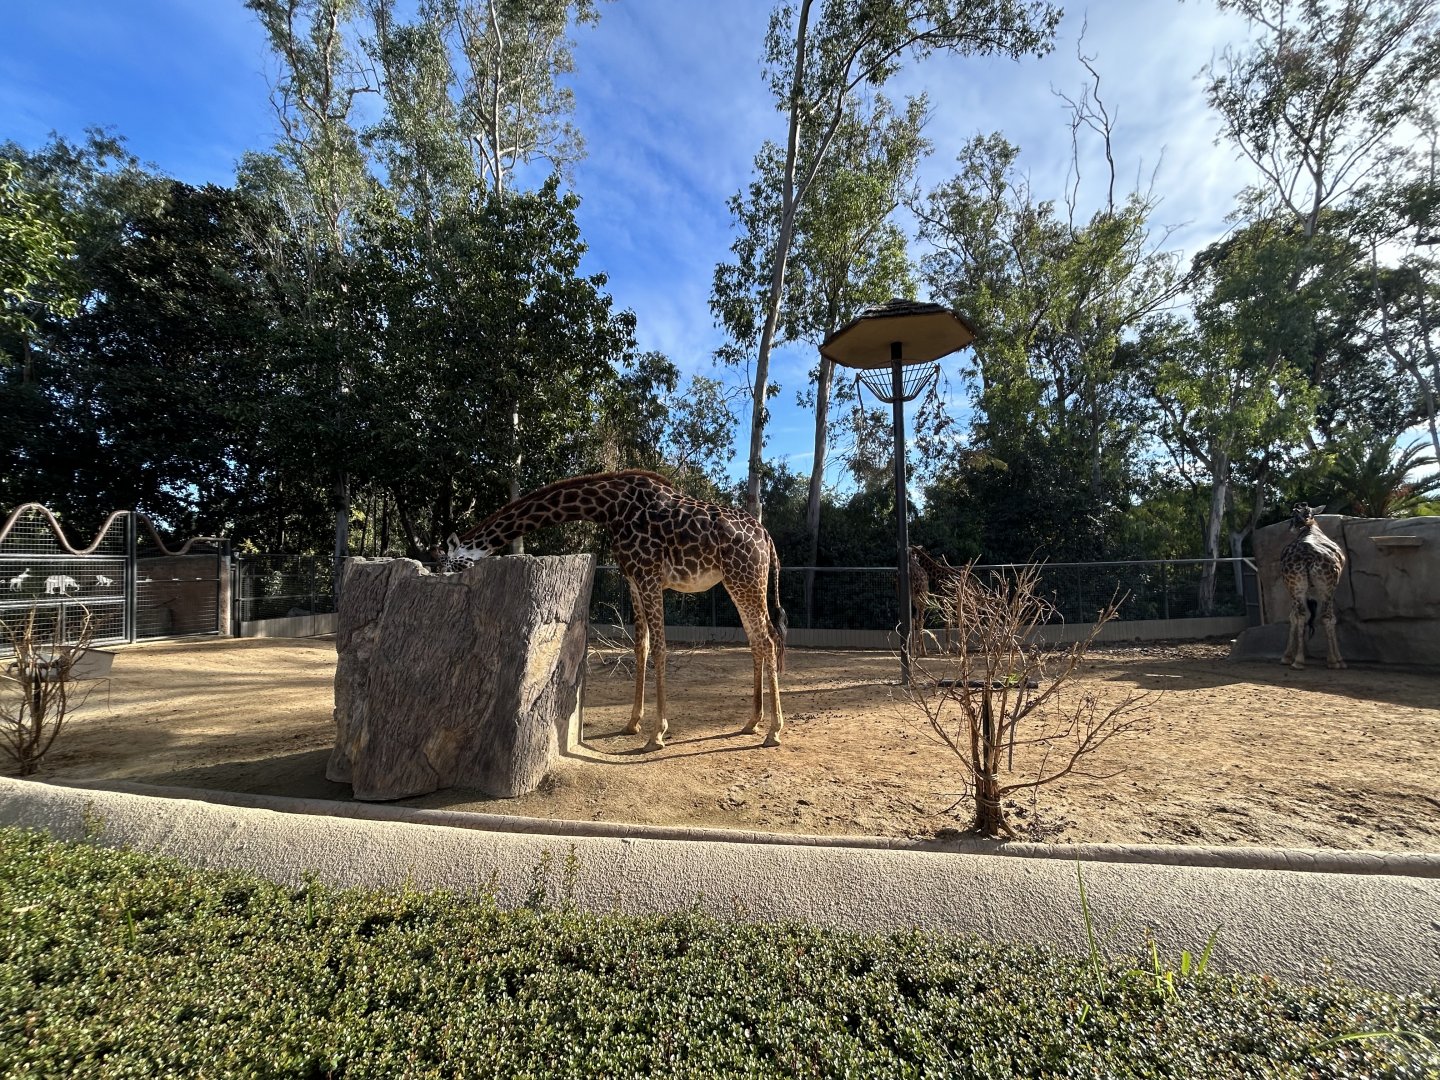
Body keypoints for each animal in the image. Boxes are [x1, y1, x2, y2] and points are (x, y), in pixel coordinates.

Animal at [443, 470, 786, 750]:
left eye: (450, 561)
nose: (443, 576)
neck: (608, 507)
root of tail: (768, 538)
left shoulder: (649, 575)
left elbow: (660, 648)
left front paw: (657, 734)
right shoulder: (633, 578)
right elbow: (641, 647)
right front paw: (632, 723)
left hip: (745, 580)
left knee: (768, 641)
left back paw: (774, 730)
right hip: (738, 582)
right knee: (758, 641)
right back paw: (752, 722)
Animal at [1279, 503, 1346, 671]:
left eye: (1292, 515)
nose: (1290, 527)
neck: (1309, 527)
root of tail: (1308, 558)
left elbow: (1294, 616)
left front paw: (1287, 657)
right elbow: (1331, 618)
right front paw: (1338, 659)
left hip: (1297, 586)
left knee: (1302, 615)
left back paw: (1299, 660)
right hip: (1324, 587)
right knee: (1325, 616)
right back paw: (1333, 661)